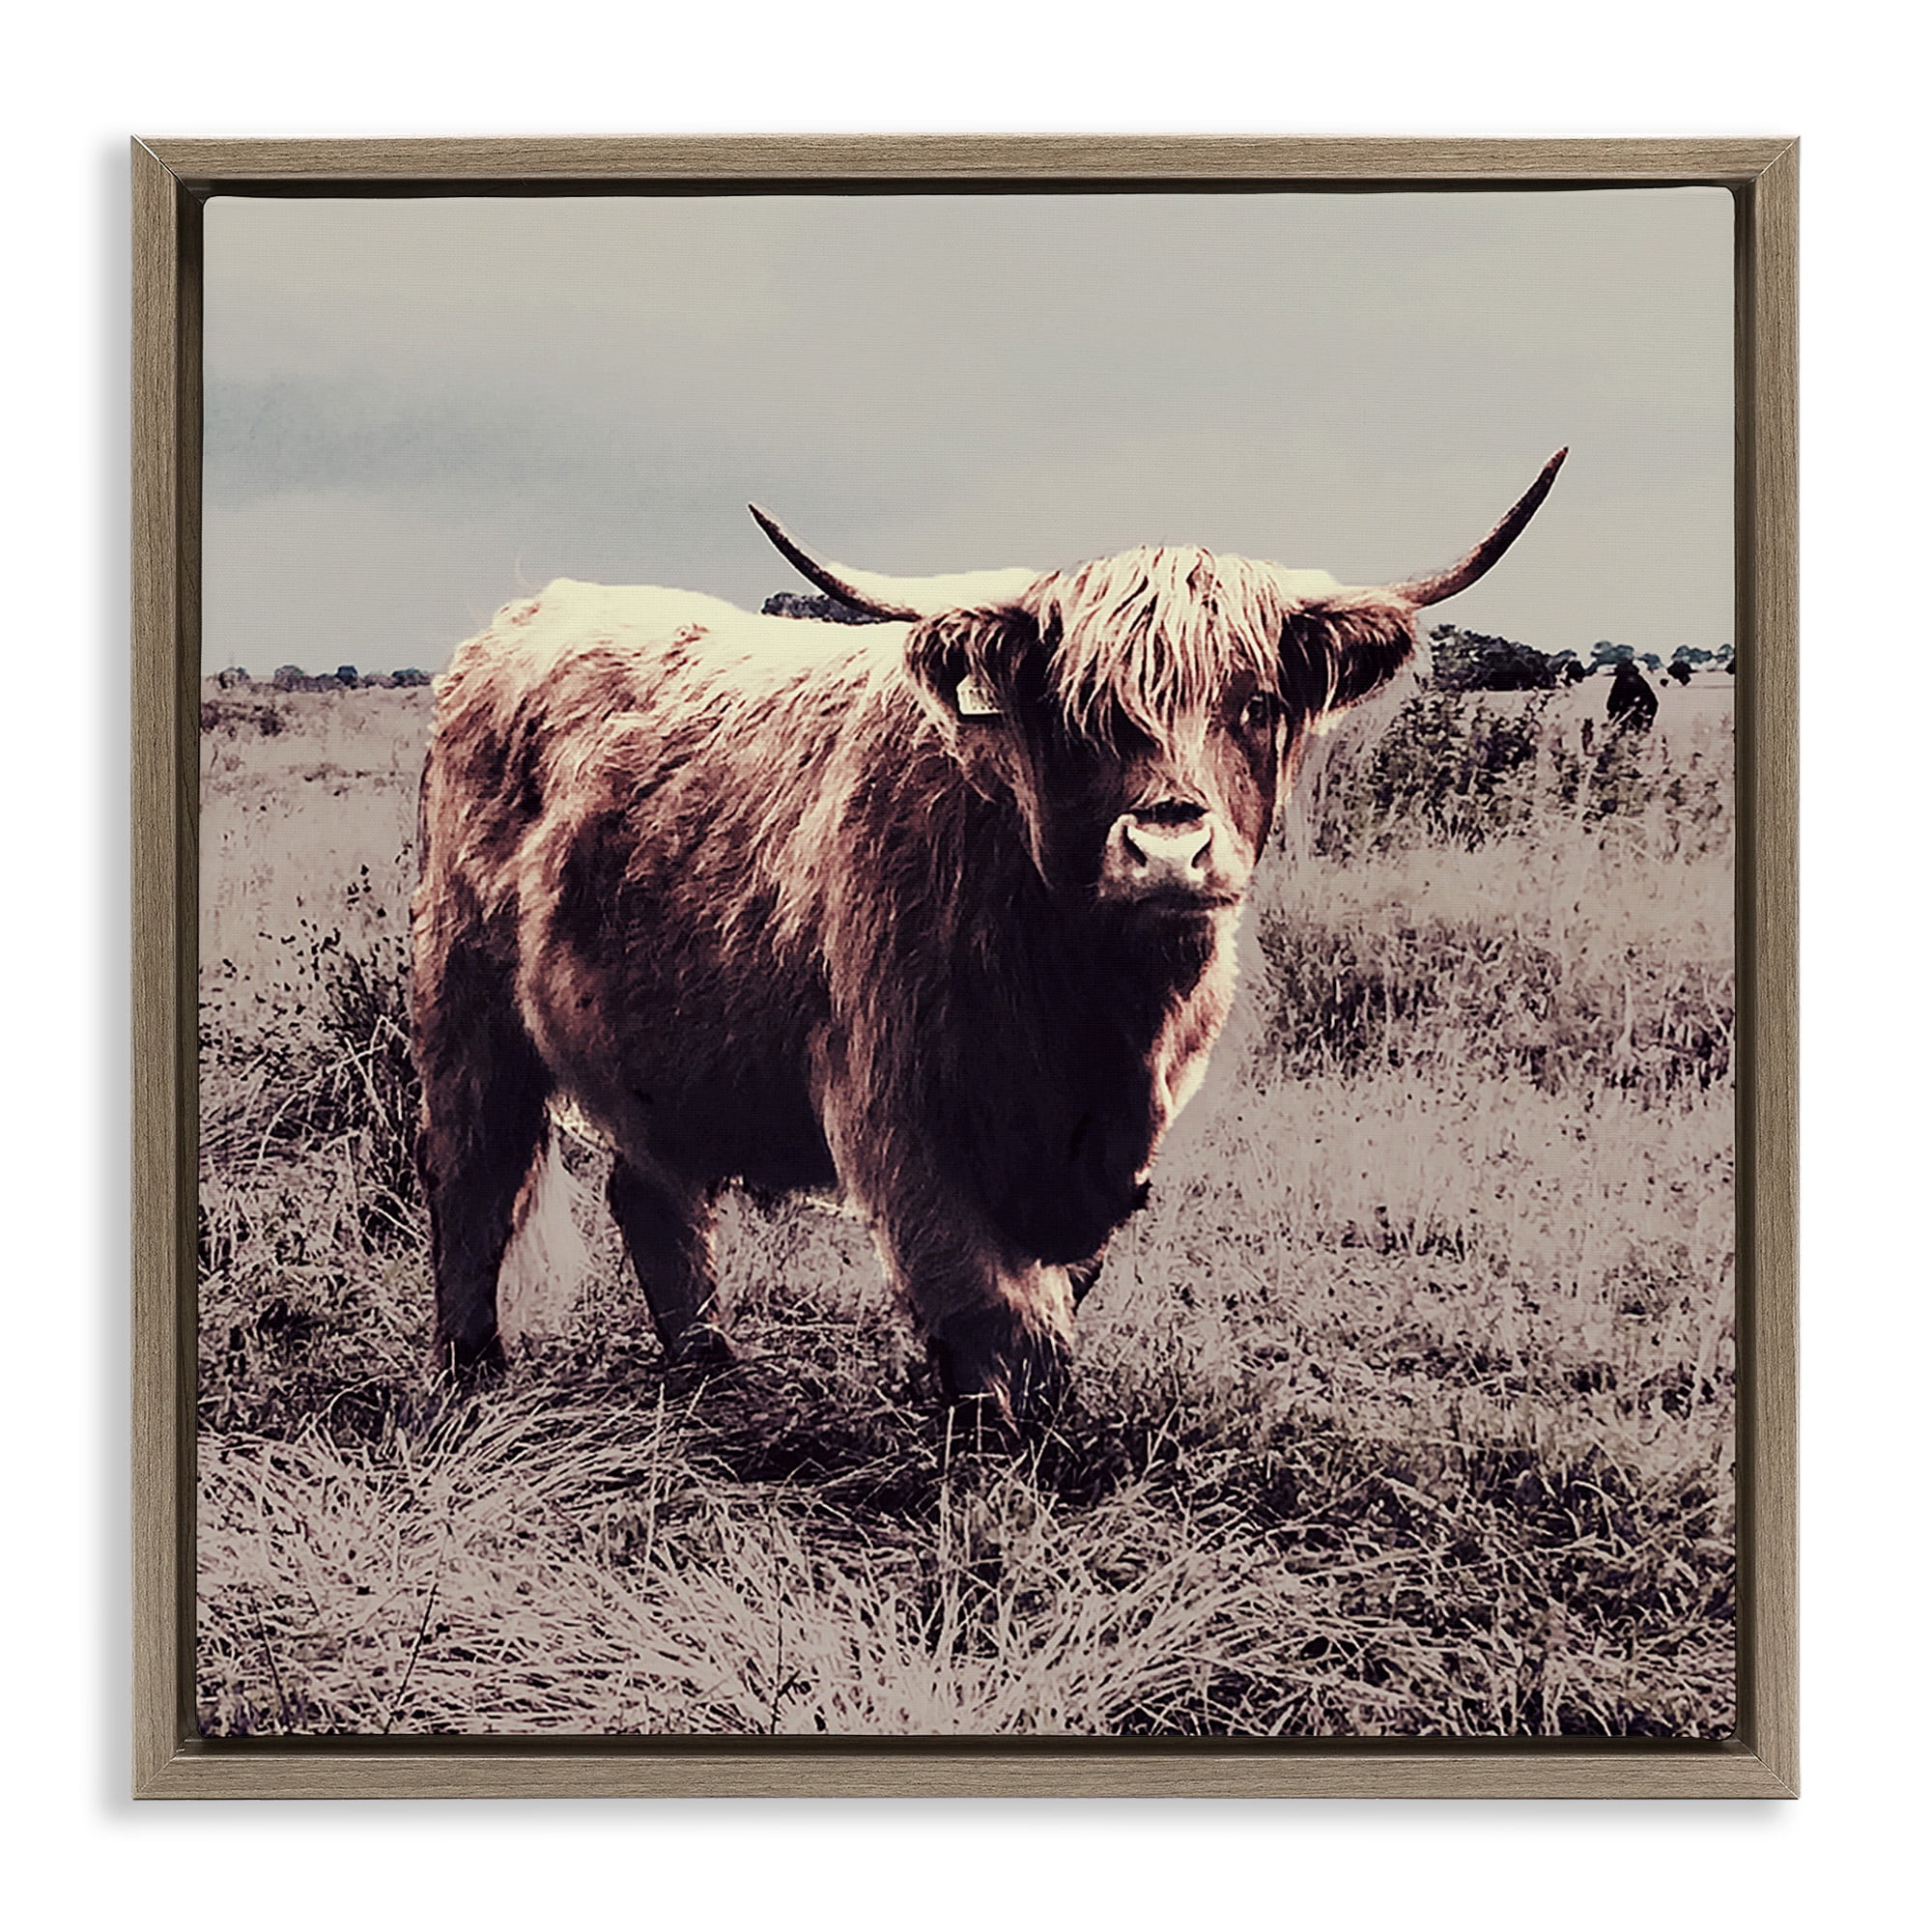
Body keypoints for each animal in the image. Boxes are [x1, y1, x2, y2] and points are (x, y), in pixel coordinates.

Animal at [411, 451, 1567, 1429]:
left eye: (1253, 703)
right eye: (1082, 713)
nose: (1167, 847)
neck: (1093, 1010)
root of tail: (527, 614)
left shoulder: (1112, 1145)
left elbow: (1053, 1293)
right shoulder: (899, 1111)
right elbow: (992, 1307)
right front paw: (996, 1449)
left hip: (656, 1044)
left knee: (651, 1190)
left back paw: (710, 1373)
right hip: (464, 999)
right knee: (473, 1173)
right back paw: (472, 1374)